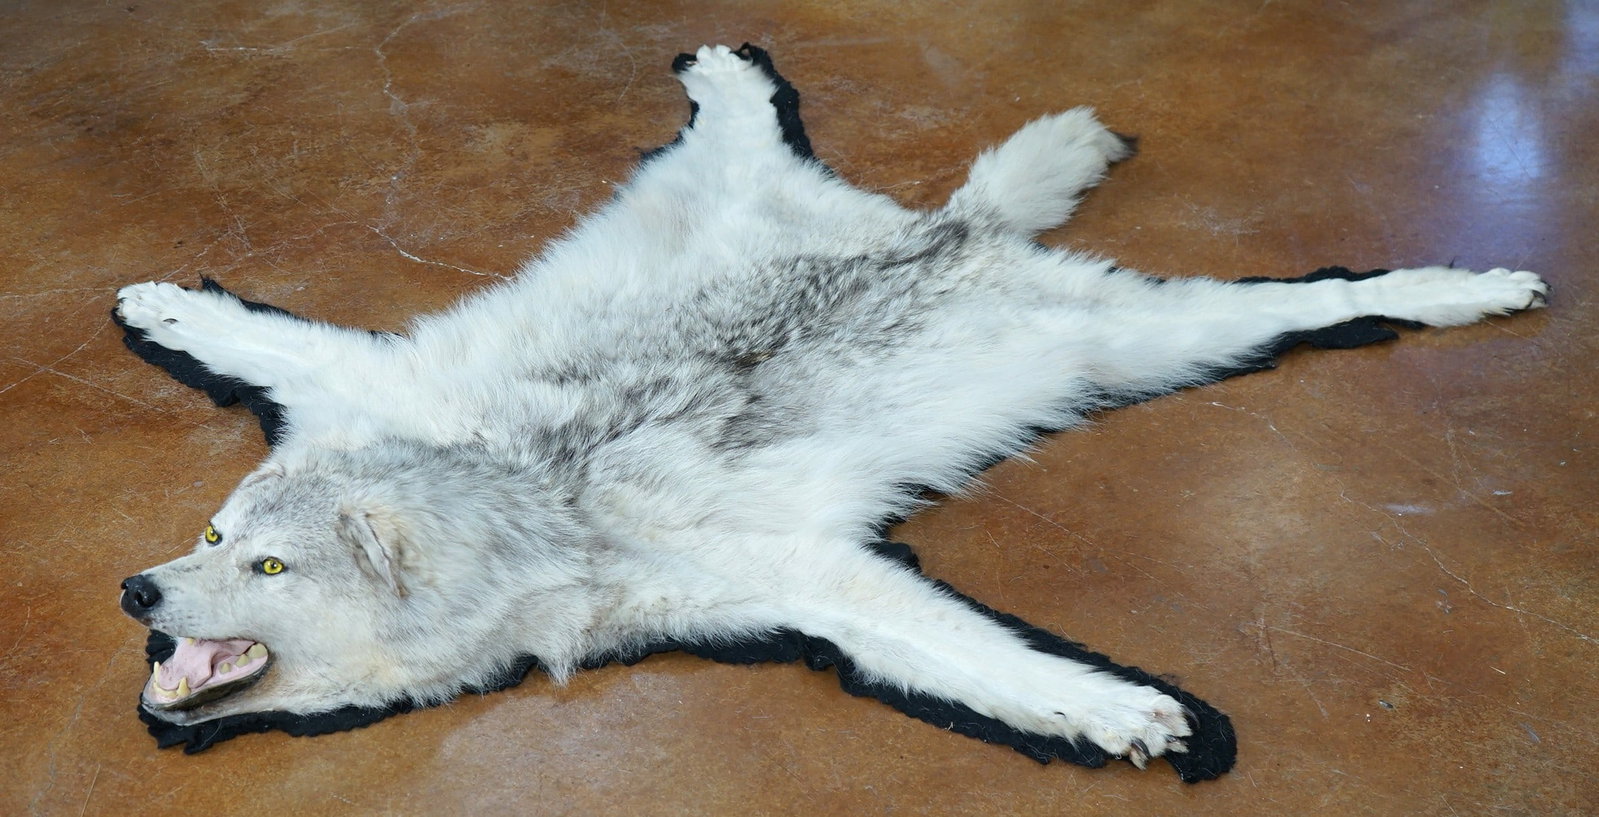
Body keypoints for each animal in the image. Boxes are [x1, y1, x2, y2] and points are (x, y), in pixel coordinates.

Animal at [114, 44, 1546, 779]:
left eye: (270, 566)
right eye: (210, 534)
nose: (134, 589)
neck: (529, 494)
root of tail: (951, 231)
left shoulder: (810, 583)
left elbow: (990, 662)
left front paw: (1122, 712)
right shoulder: (382, 386)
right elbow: (261, 334)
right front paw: (162, 307)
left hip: (1152, 340)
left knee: (1329, 297)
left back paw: (1464, 288)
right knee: (751, 121)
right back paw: (724, 64)